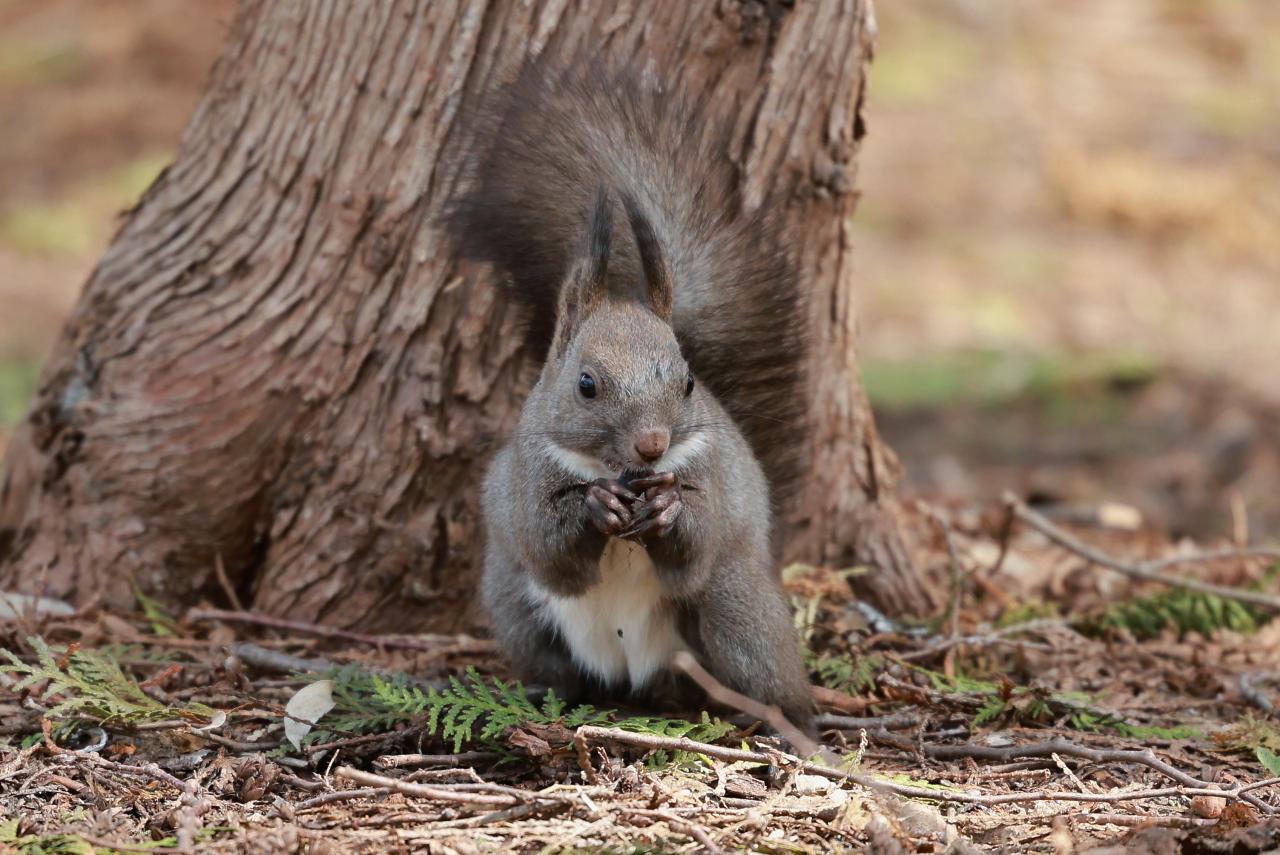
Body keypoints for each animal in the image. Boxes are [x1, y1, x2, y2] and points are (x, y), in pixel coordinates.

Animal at [445, 60, 814, 732]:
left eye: (689, 382)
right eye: (586, 384)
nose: (652, 444)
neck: (619, 471)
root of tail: (633, 672)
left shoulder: (707, 473)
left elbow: (693, 546)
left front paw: (666, 509)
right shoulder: (526, 478)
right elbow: (549, 549)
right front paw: (596, 508)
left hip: (737, 611)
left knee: (757, 667)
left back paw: (784, 719)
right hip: (517, 610)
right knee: (555, 661)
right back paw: (550, 695)